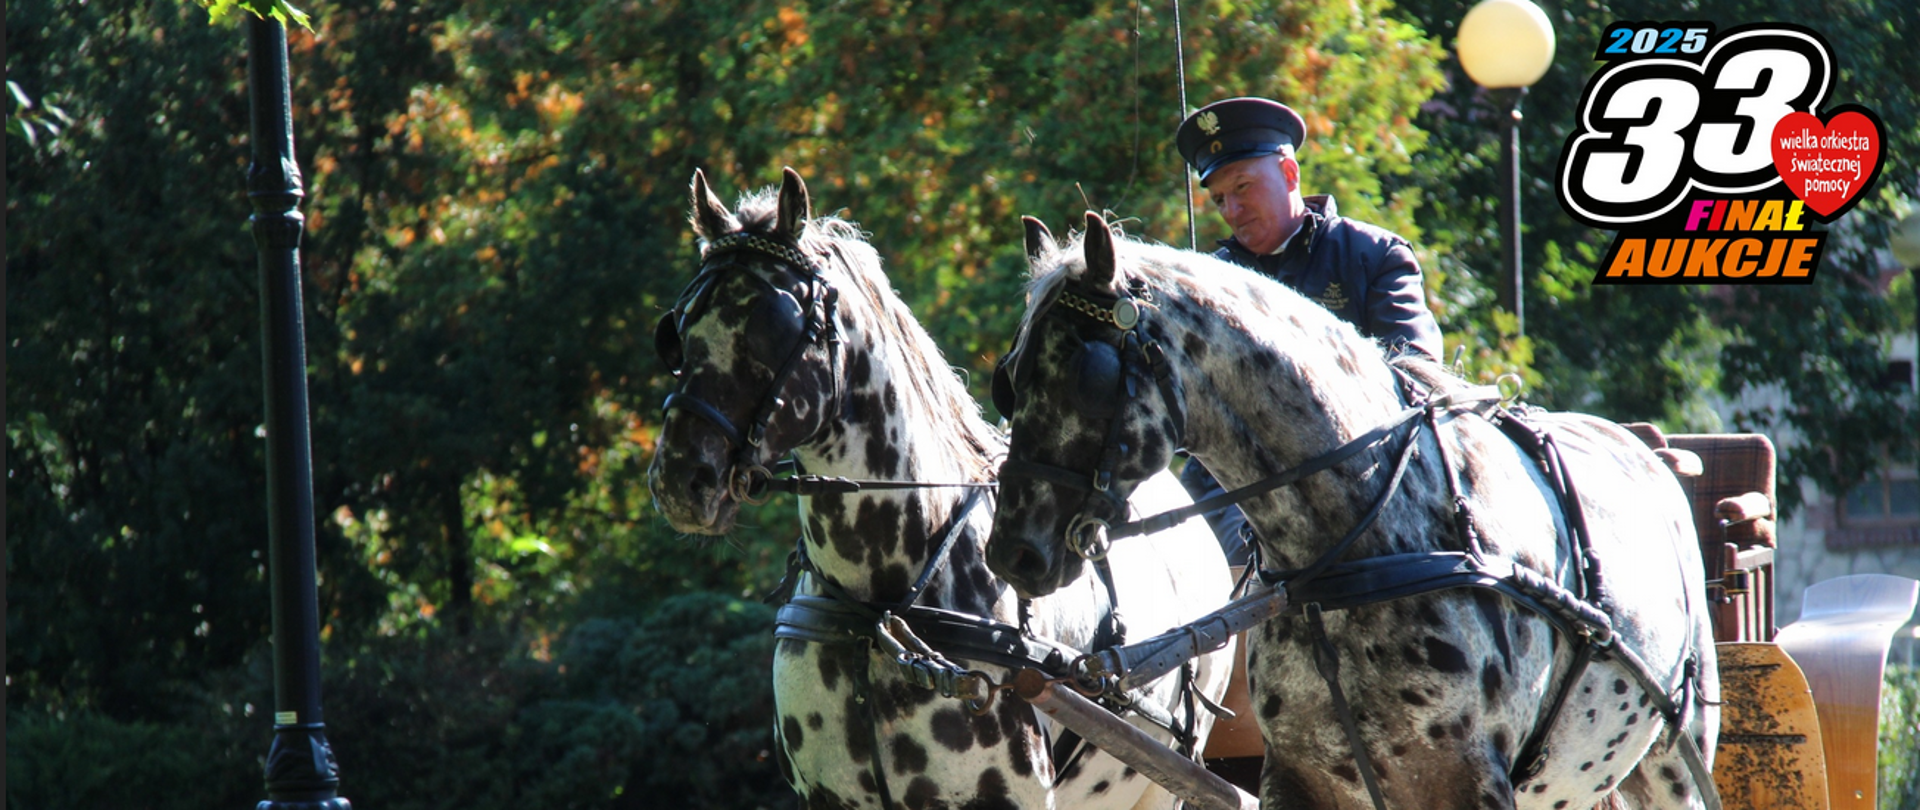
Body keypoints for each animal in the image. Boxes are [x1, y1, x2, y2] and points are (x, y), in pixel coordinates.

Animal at [983, 214, 1720, 810]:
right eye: (1009, 378)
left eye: (1088, 375)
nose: (1011, 551)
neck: (1360, 554)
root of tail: (1645, 447)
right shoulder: (1301, 780)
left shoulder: (1468, 782)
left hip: (1670, 763)